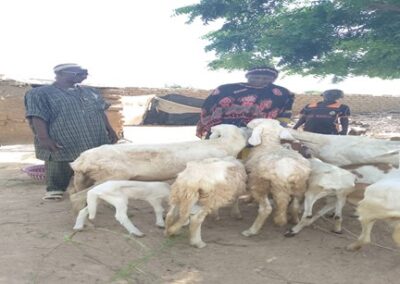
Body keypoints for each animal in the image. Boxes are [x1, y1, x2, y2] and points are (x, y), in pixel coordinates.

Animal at [70, 125, 248, 212]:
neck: (223, 143)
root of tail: (81, 160)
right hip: (108, 177)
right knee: (76, 197)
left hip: (86, 178)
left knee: (76, 193)